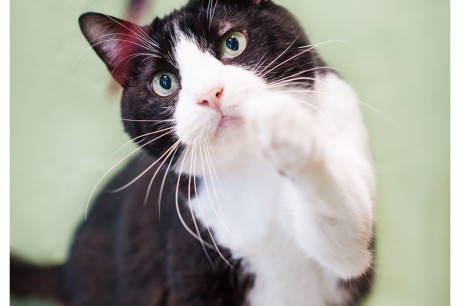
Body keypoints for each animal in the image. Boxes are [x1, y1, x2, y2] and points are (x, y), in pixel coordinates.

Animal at [11, 0, 374, 306]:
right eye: (164, 82)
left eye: (233, 43)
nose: (211, 93)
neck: (250, 166)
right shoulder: (188, 255)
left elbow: (346, 233)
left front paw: (289, 130)